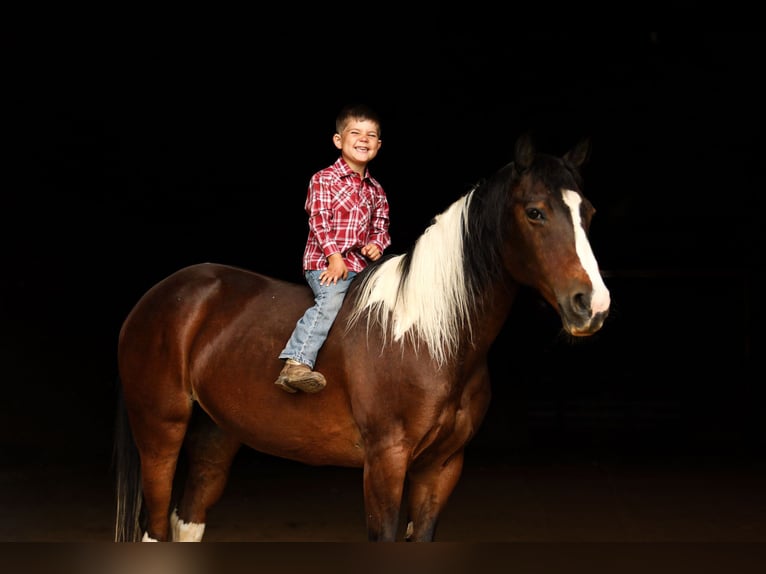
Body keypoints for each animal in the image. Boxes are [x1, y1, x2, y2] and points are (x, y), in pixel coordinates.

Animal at [113, 134, 611, 542]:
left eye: (587, 212)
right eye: (535, 212)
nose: (592, 304)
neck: (432, 337)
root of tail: (161, 295)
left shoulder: (441, 468)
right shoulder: (385, 462)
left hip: (216, 434)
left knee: (188, 520)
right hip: (160, 431)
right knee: (157, 526)